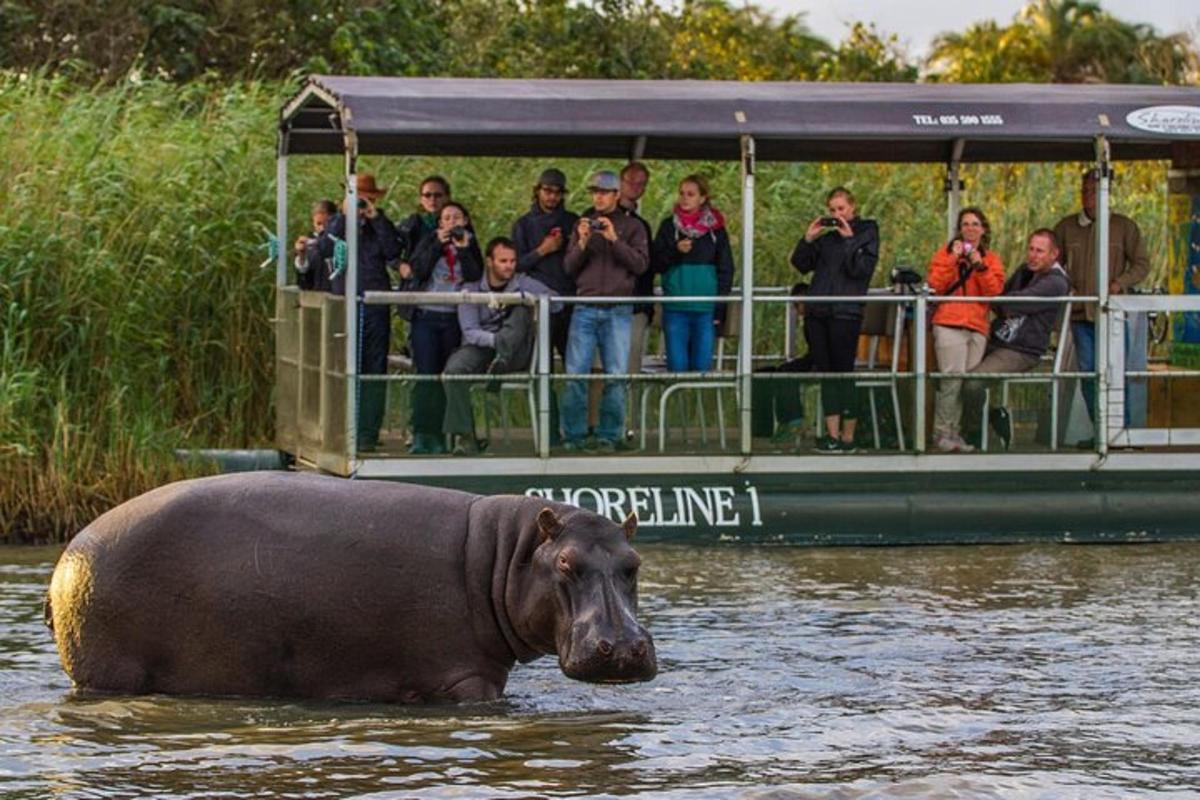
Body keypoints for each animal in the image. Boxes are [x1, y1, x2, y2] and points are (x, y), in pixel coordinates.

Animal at [44, 472, 657, 705]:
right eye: (567, 564)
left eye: (634, 563)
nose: (625, 647)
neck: (507, 554)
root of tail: (65, 558)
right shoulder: (466, 678)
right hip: (110, 673)